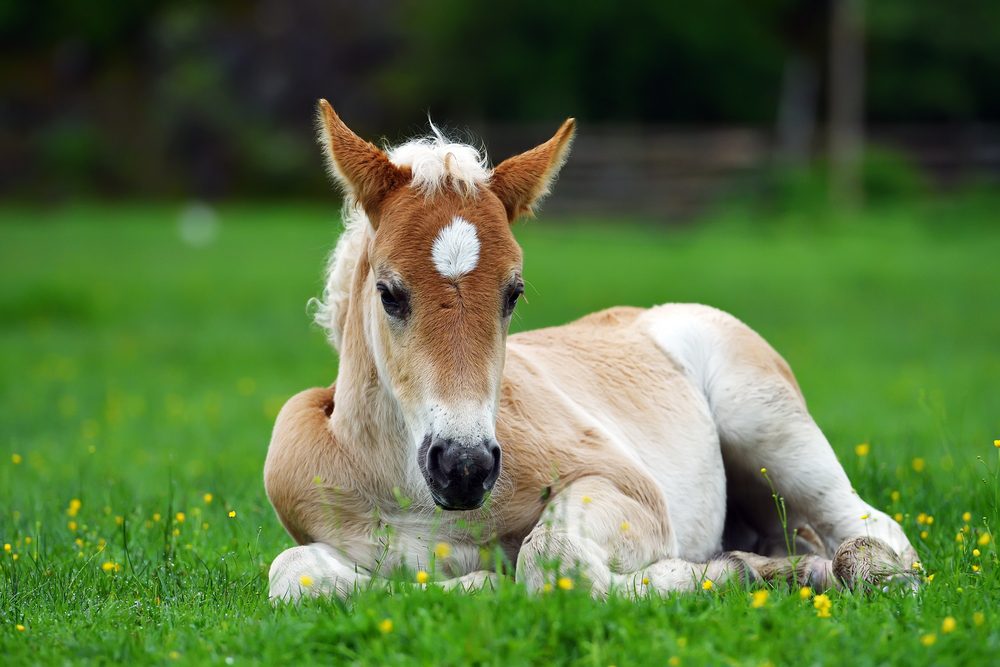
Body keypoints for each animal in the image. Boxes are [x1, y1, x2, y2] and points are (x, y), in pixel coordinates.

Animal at [264, 100, 918, 600]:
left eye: (513, 292)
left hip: (767, 426)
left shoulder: (631, 489)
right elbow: (292, 576)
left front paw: (725, 572)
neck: (406, 485)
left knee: (871, 526)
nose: (464, 467)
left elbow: (554, 561)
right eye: (389, 293)